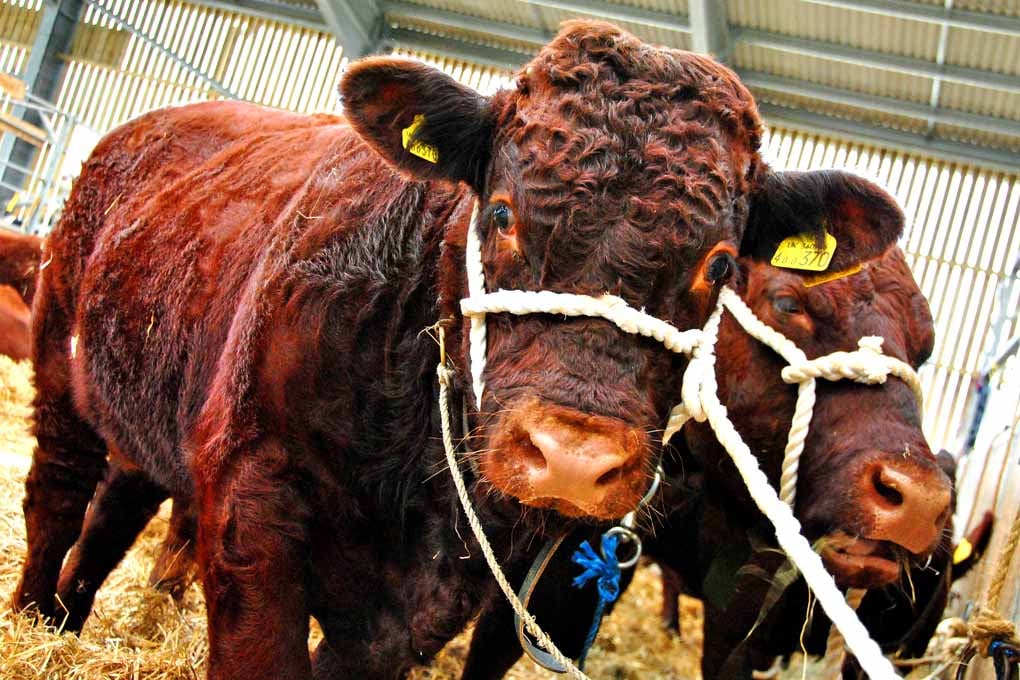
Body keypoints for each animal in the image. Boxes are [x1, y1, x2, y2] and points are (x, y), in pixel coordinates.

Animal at [15, 21, 773, 679]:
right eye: (502, 212)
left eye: (721, 265)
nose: (572, 458)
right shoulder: (251, 488)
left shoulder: (433, 595)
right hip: (60, 351)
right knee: (58, 490)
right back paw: (33, 619)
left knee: (120, 495)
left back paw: (68, 617)